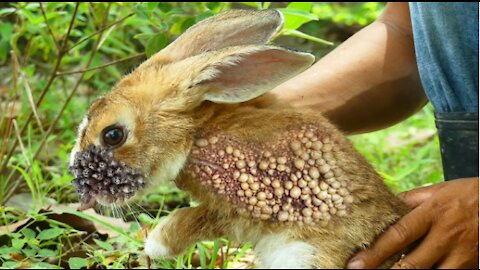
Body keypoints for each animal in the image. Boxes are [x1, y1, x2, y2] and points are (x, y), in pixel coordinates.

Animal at [69, 9, 410, 268]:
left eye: (113, 135)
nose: (84, 194)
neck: (197, 133)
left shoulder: (247, 202)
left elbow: (193, 220)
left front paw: (155, 243)